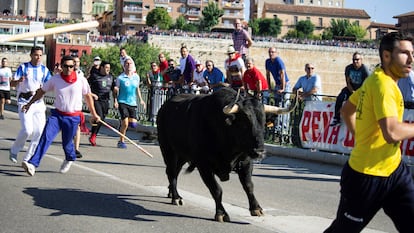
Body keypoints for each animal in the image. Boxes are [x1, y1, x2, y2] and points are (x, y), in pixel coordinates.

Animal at [157, 87, 296, 222]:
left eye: (263, 123)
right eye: (244, 123)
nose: (260, 152)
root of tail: (164, 107)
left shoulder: (246, 162)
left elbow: (249, 185)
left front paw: (256, 208)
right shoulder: (204, 165)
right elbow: (216, 189)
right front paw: (221, 214)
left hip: (182, 155)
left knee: (175, 171)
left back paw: (171, 193)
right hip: (168, 150)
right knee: (171, 172)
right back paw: (176, 197)